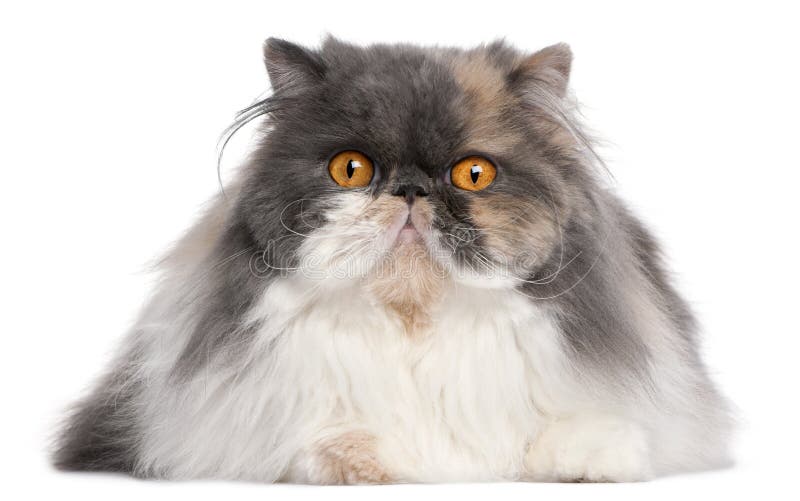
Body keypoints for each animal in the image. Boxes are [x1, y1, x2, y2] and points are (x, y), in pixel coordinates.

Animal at [53, 37, 736, 482]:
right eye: (352, 170)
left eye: (473, 173)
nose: (409, 190)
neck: (414, 322)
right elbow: (330, 442)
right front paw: (382, 460)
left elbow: (588, 432)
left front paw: (589, 459)